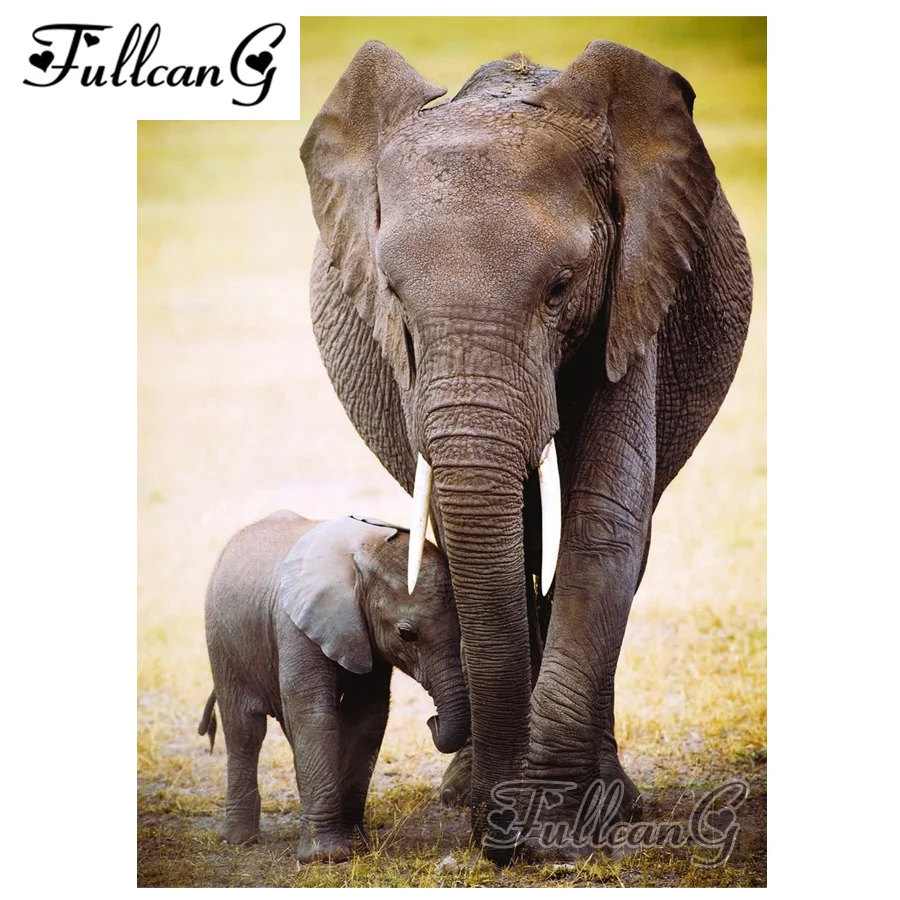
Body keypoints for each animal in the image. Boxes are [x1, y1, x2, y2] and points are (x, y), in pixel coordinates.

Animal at [199, 511, 470, 863]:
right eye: (407, 634)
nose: (432, 721)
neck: (361, 553)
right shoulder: (295, 624)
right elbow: (315, 713)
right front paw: (325, 857)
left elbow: (367, 716)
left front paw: (356, 844)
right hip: (222, 642)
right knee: (244, 729)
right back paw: (239, 840)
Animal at [300, 40, 753, 862]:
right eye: (393, 292)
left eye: (563, 286)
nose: (497, 833)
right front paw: (509, 812)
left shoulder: (635, 287)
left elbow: (605, 517)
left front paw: (560, 828)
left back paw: (611, 800)